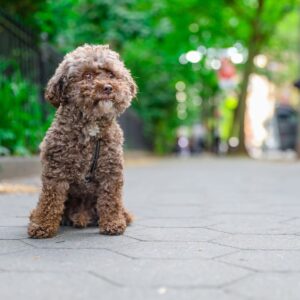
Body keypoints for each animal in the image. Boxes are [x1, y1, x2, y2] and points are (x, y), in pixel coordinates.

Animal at [27, 44, 137, 239]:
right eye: (88, 76)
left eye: (111, 74)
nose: (108, 87)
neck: (91, 125)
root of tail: (82, 214)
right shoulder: (56, 172)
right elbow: (50, 200)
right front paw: (42, 225)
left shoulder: (111, 171)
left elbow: (111, 199)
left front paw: (113, 223)